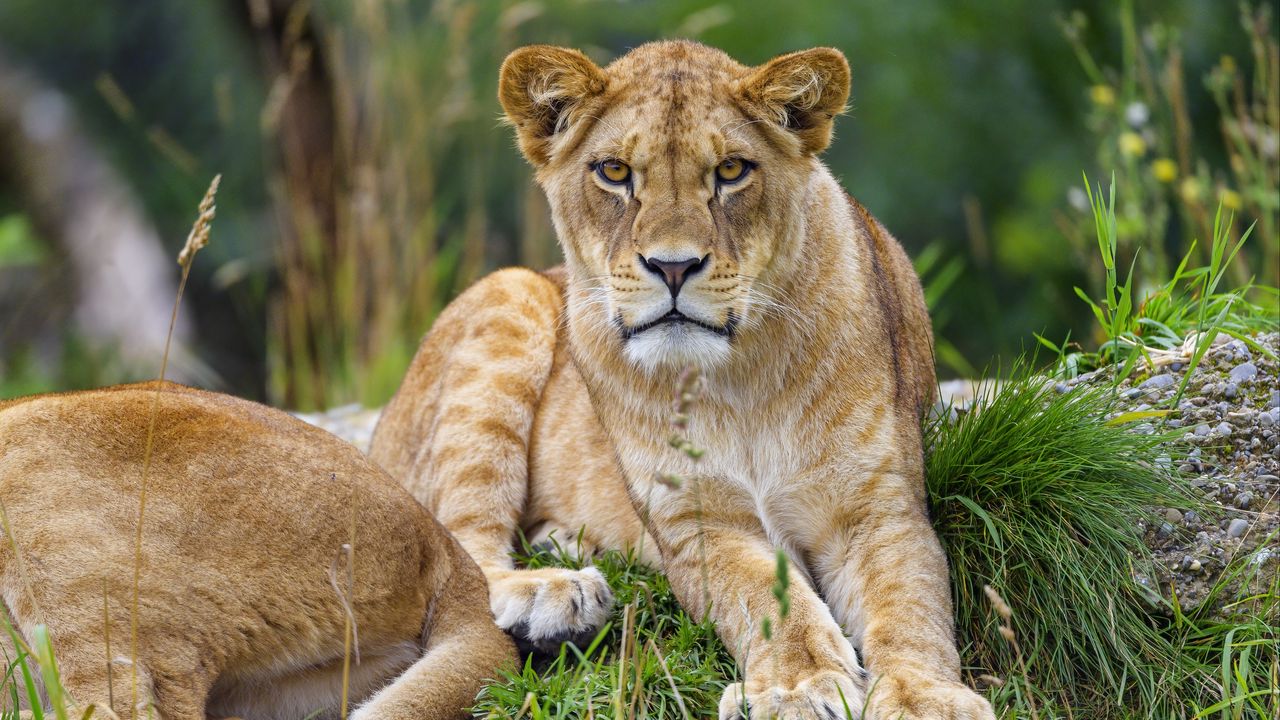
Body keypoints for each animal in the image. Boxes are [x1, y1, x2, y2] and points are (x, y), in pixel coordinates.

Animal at [370, 40, 994, 719]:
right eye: (615, 172)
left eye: (731, 170)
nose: (673, 267)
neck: (737, 381)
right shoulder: (696, 524)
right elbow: (765, 600)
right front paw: (797, 687)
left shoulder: (878, 506)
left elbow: (910, 606)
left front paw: (925, 697)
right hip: (507, 296)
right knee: (459, 546)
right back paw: (556, 594)